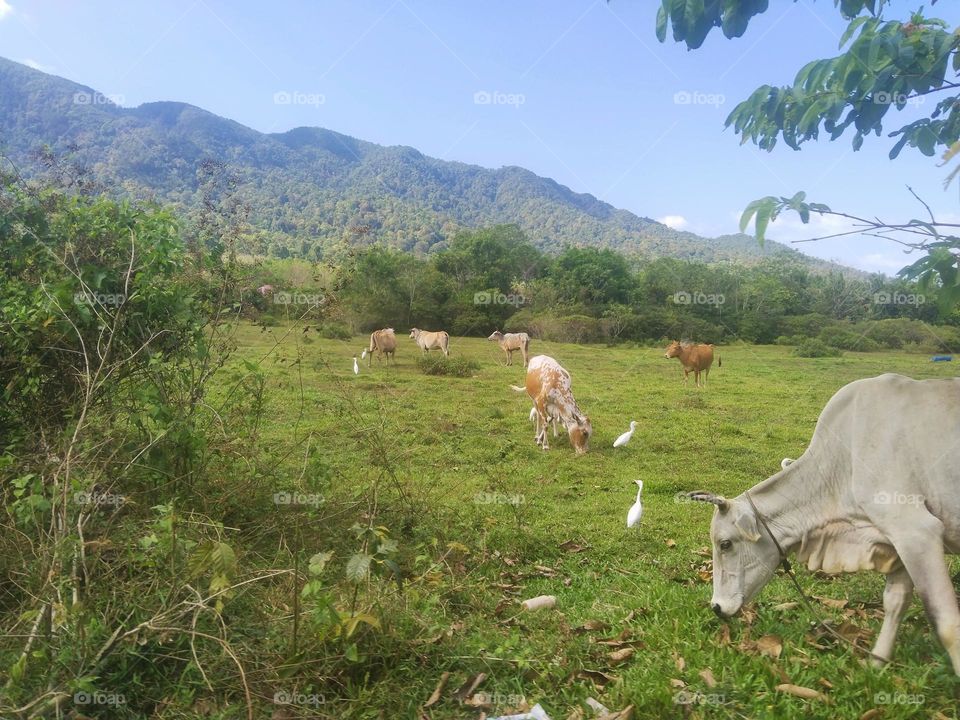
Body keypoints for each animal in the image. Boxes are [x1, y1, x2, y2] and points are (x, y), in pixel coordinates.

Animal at [689, 374, 960, 674]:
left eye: (725, 544)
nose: (716, 607)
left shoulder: (916, 531)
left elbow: (948, 624)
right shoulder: (896, 540)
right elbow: (895, 602)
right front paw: (877, 661)